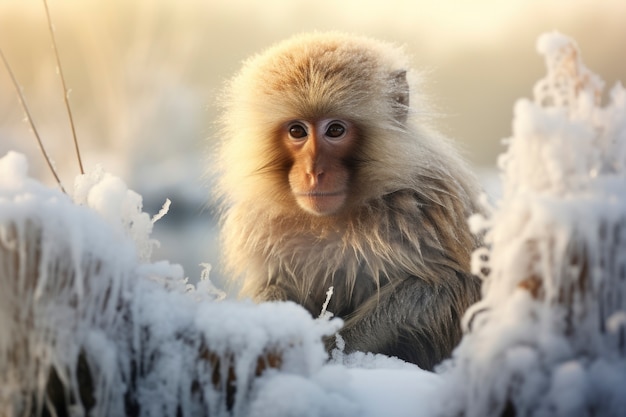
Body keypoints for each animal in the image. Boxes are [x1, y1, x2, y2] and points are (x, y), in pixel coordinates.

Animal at [214, 33, 482, 370]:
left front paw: (336, 346)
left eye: (335, 130)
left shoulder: (427, 208)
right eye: (297, 131)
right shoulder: (262, 225)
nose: (313, 172)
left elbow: (452, 285)